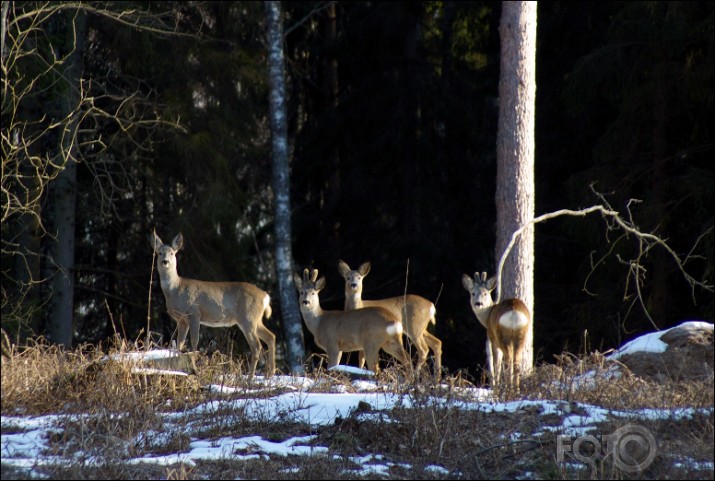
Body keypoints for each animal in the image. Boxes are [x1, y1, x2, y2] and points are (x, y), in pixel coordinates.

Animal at [150, 232, 276, 378]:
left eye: (172, 253)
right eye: (159, 253)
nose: (165, 262)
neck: (176, 289)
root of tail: (265, 296)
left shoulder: (194, 313)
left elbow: (194, 342)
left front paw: (194, 368)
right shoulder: (182, 320)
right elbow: (179, 345)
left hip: (248, 318)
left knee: (256, 346)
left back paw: (250, 378)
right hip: (256, 320)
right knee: (271, 337)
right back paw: (270, 374)